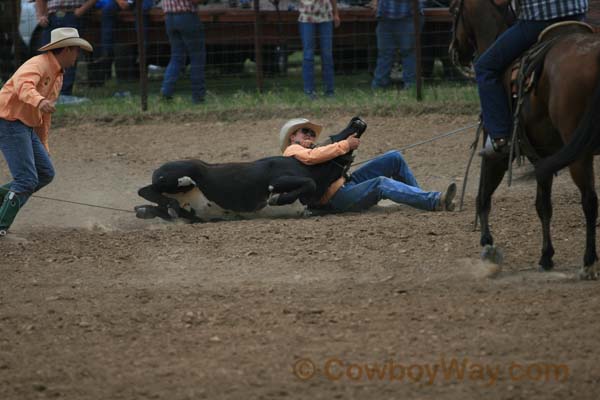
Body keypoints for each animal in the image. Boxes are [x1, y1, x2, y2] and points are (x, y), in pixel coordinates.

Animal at [448, 0, 600, 278]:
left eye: (454, 10)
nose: (454, 52)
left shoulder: (494, 148)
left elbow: (483, 194)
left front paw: (488, 246)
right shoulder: (544, 156)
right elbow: (543, 205)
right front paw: (546, 256)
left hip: (579, 154)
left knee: (590, 201)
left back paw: (588, 262)